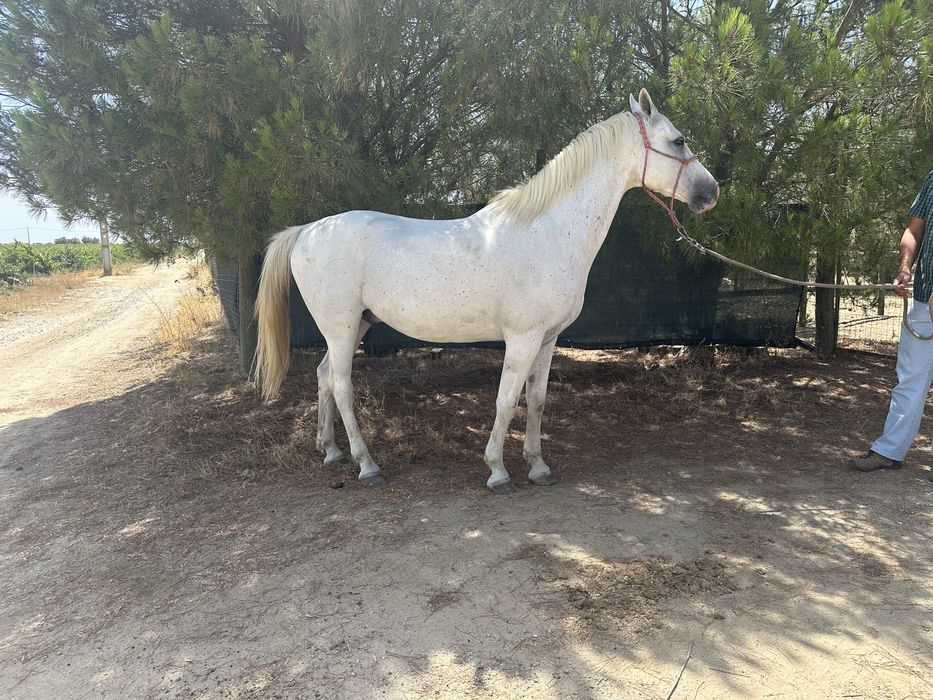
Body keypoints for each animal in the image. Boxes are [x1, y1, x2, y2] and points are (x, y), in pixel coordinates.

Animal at [254, 88, 719, 494]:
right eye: (677, 140)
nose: (711, 192)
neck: (548, 232)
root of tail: (308, 230)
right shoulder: (523, 338)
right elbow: (506, 401)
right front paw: (498, 472)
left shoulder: (547, 340)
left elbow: (536, 400)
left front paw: (538, 466)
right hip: (341, 328)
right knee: (343, 388)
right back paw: (366, 465)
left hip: (354, 327)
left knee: (324, 378)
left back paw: (331, 451)